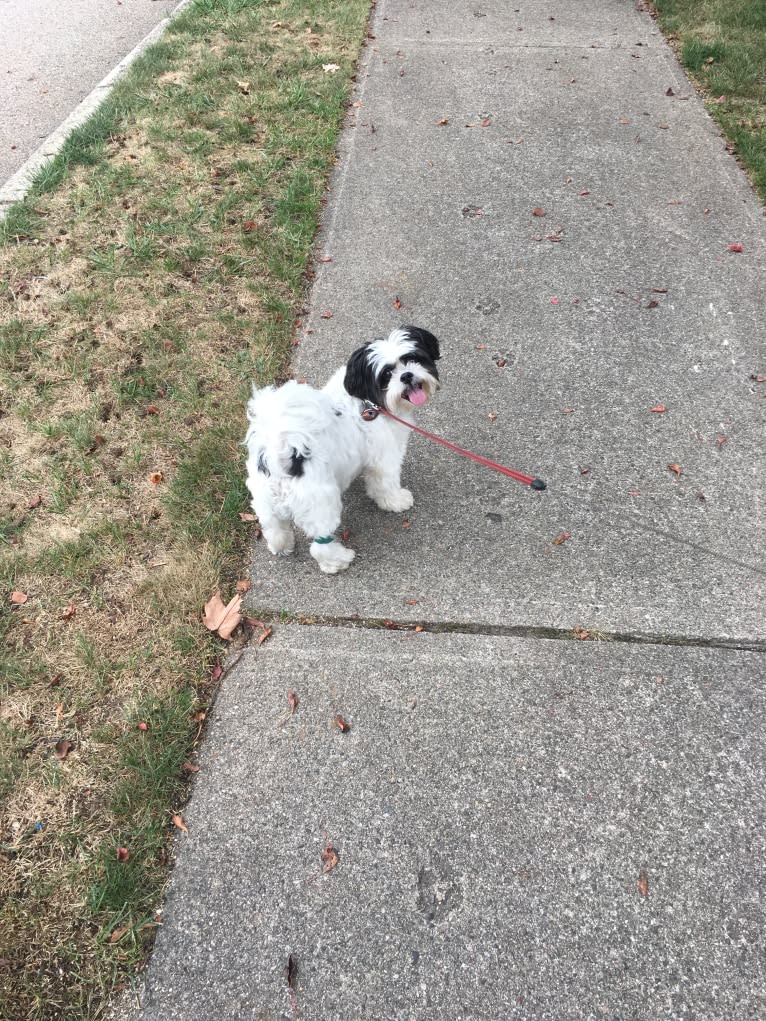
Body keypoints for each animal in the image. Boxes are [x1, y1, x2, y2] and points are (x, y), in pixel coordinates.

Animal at [244, 322, 437, 571]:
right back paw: (337, 560)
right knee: (320, 543)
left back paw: (281, 545)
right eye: (386, 374)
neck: (368, 400)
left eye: (412, 358)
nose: (406, 375)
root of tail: (280, 453)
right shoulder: (384, 459)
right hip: (320, 503)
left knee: (274, 527)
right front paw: (395, 501)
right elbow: (385, 484)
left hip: (265, 502)